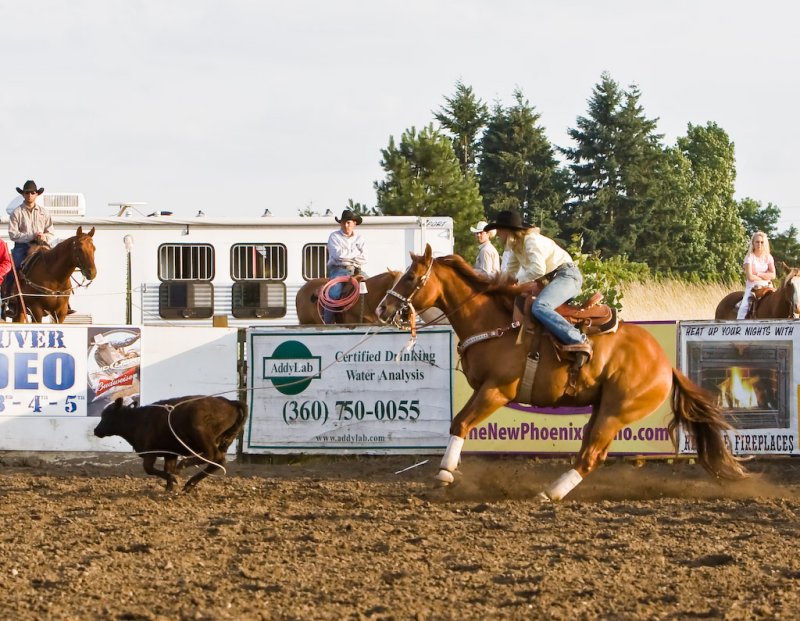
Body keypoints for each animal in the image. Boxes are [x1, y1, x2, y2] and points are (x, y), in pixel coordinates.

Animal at [376, 245, 744, 502]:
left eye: (410, 278)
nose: (382, 309)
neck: (493, 322)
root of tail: (665, 364)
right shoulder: (487, 390)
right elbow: (459, 423)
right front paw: (447, 472)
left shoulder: (497, 391)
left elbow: (460, 423)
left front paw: (444, 474)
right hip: (602, 409)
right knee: (589, 452)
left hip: (616, 412)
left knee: (590, 457)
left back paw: (549, 493)